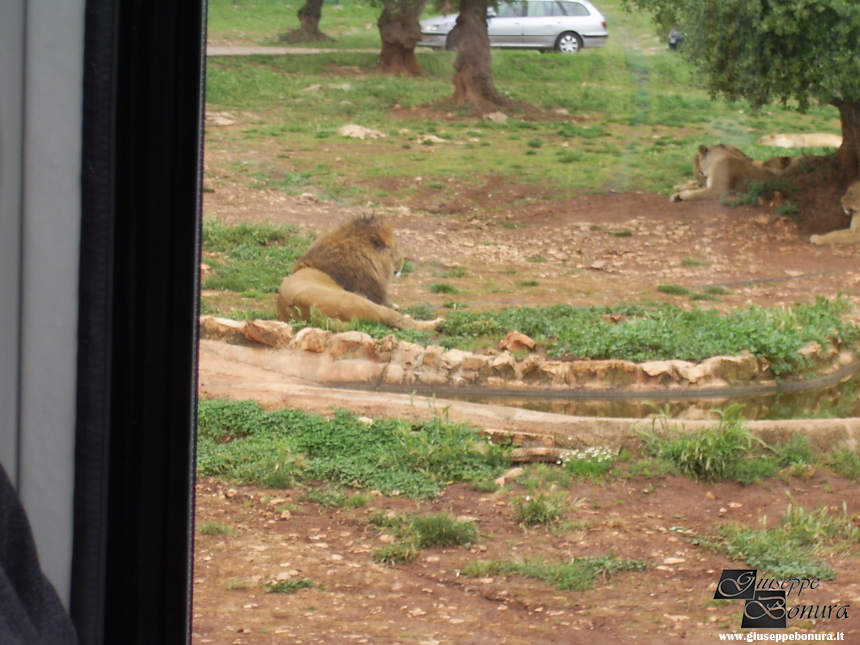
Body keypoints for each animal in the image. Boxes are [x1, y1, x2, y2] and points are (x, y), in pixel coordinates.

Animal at [278, 215, 440, 330]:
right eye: (395, 247)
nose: (403, 261)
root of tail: (314, 316)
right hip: (360, 302)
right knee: (401, 321)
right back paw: (437, 322)